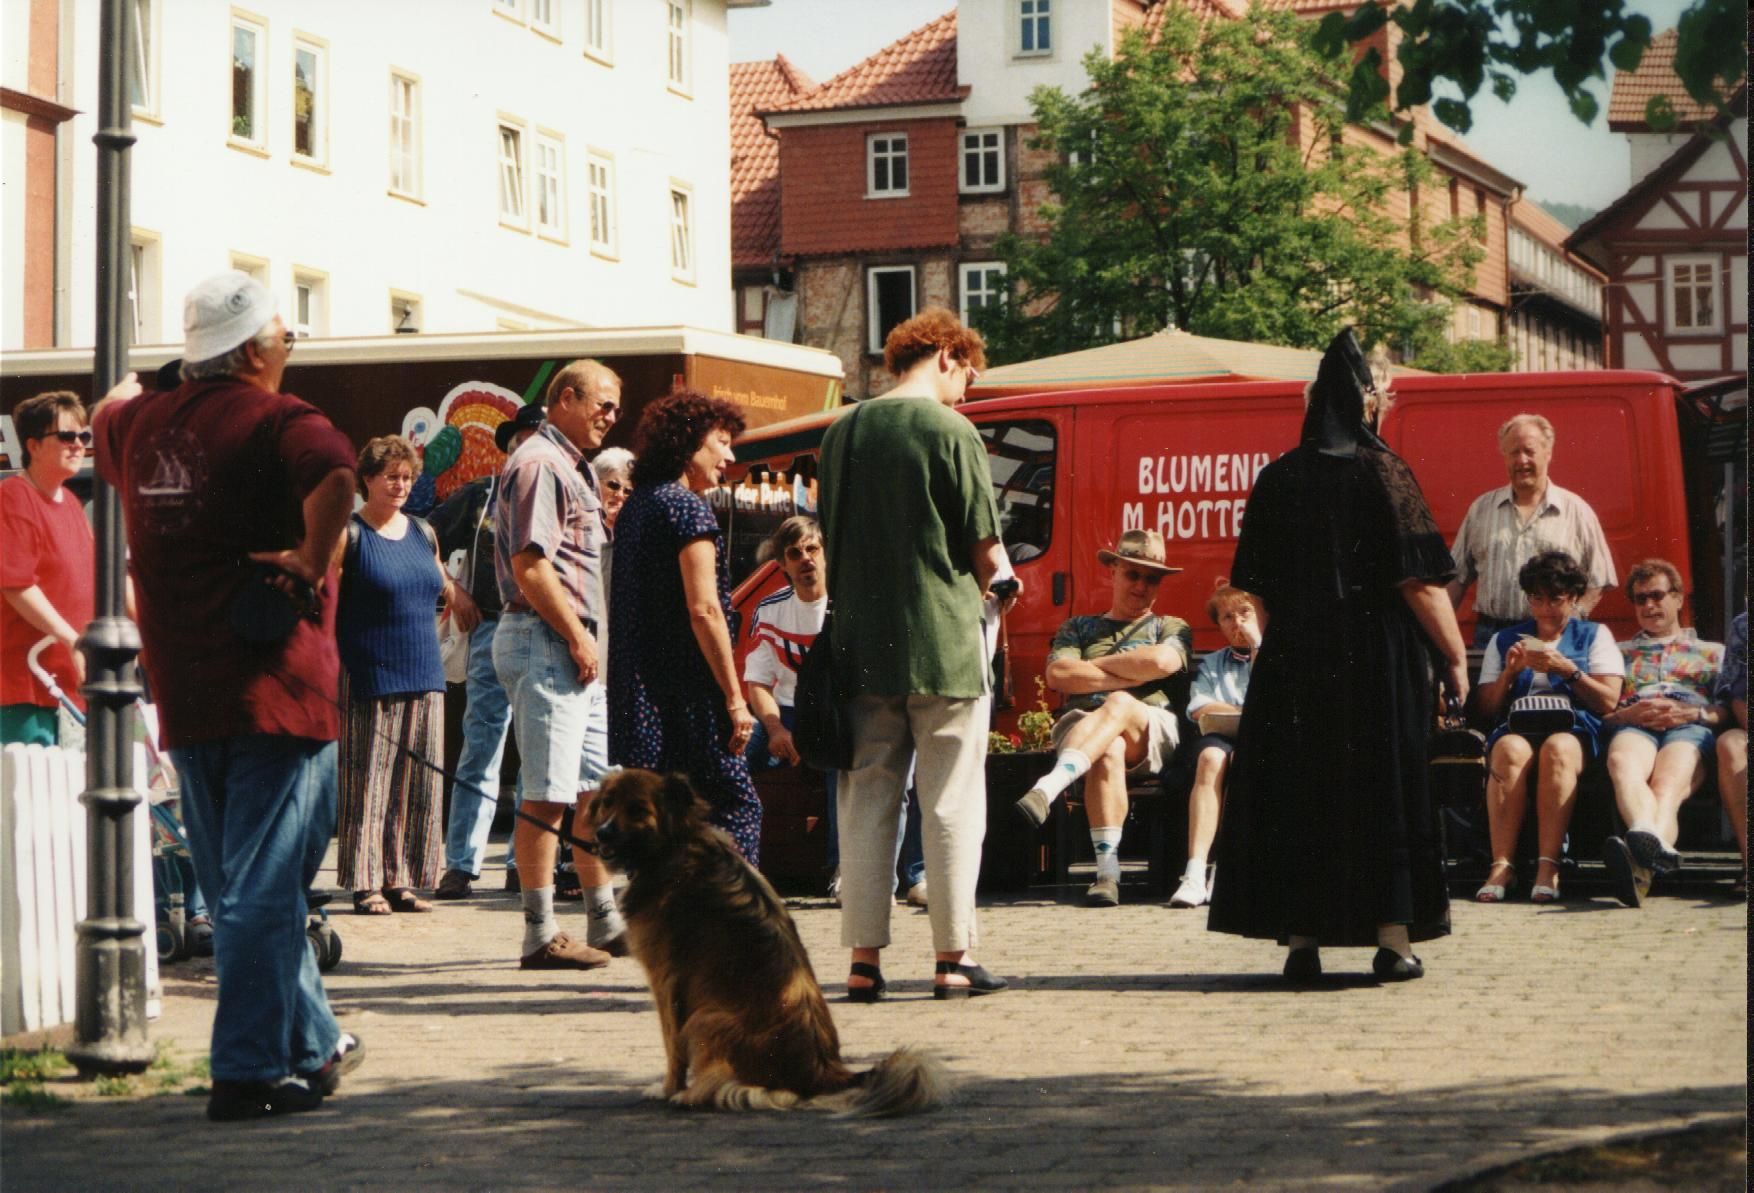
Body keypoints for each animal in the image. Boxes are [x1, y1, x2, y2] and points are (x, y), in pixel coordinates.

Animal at [586, 769, 949, 1116]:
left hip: (705, 1019)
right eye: (608, 802)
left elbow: (672, 1047)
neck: (674, 844)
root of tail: (824, 1071)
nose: (602, 833)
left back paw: (691, 1094)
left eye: (637, 809)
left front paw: (667, 1089)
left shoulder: (666, 981)